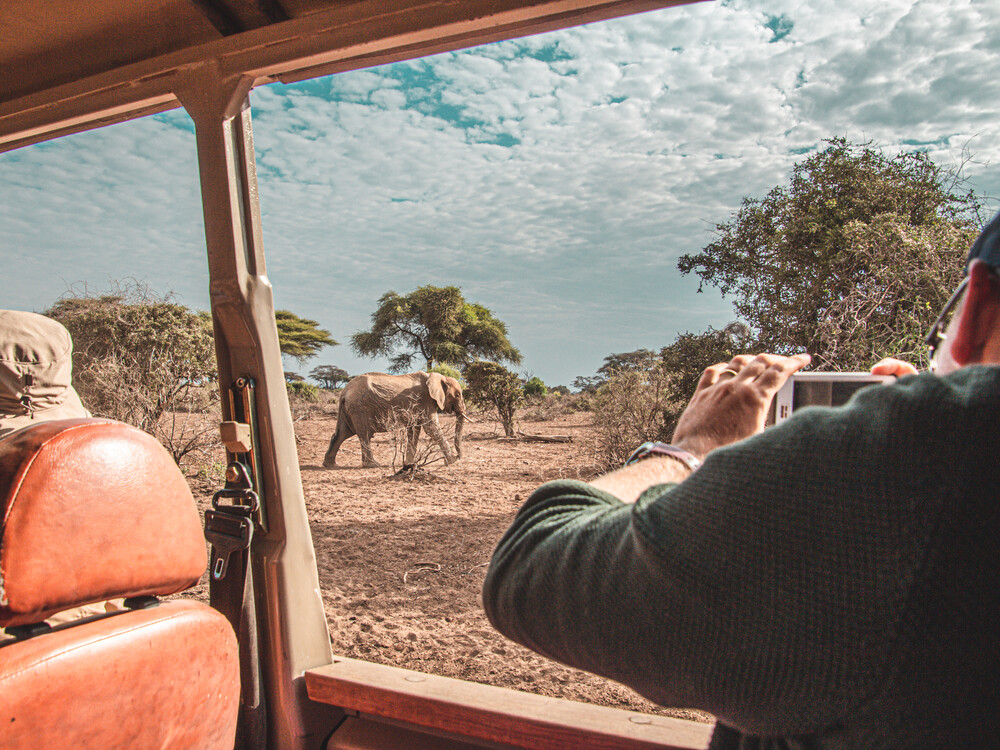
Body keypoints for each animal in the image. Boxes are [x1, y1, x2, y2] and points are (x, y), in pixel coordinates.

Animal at [323, 371, 466, 469]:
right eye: (457, 395)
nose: (459, 457)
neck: (437, 377)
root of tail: (344, 392)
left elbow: (414, 431)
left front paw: (409, 463)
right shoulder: (426, 400)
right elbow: (432, 428)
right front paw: (452, 461)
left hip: (348, 410)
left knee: (342, 434)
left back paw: (330, 465)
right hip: (360, 408)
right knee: (364, 435)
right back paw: (373, 465)